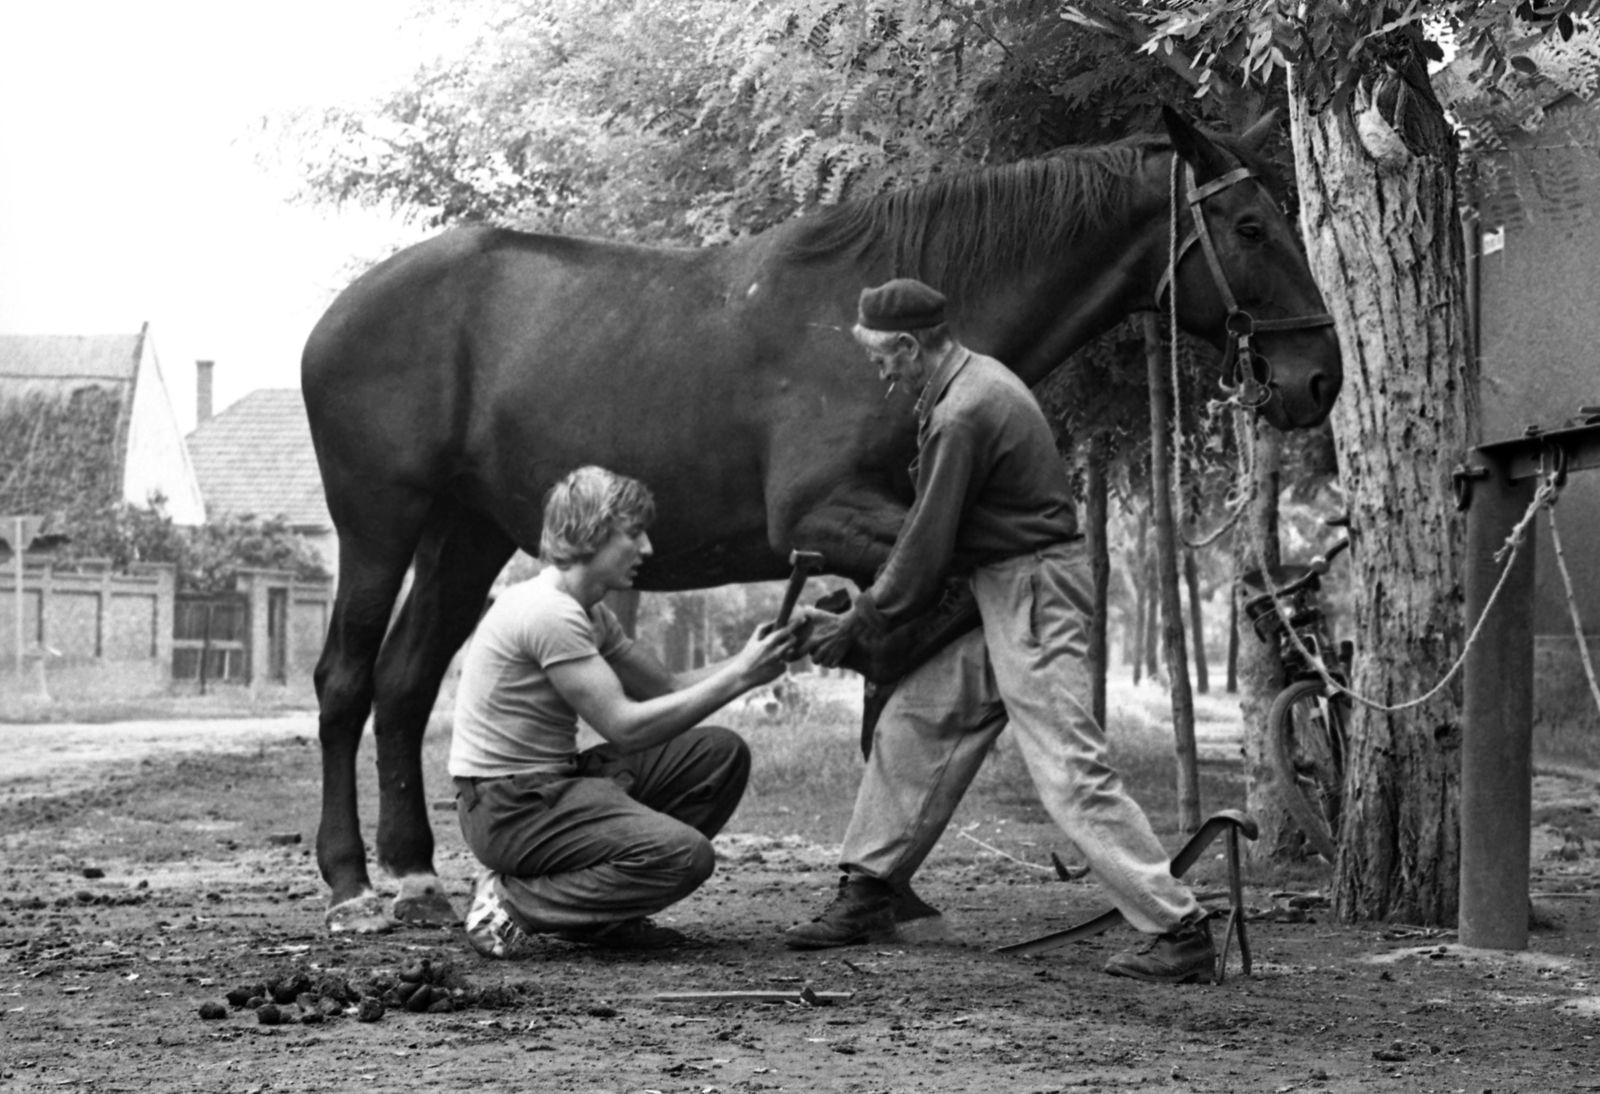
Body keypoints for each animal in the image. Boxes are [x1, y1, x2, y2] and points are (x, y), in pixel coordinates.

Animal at [297, 108, 1337, 934]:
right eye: (1251, 226)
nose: (1316, 379)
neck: (874, 331)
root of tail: (337, 315)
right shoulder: (827, 512)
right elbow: (928, 616)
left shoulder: (895, 526)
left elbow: (922, 637)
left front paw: (886, 876)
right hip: (380, 523)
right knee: (347, 679)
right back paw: (351, 882)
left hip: (467, 533)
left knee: (406, 680)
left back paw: (415, 873)